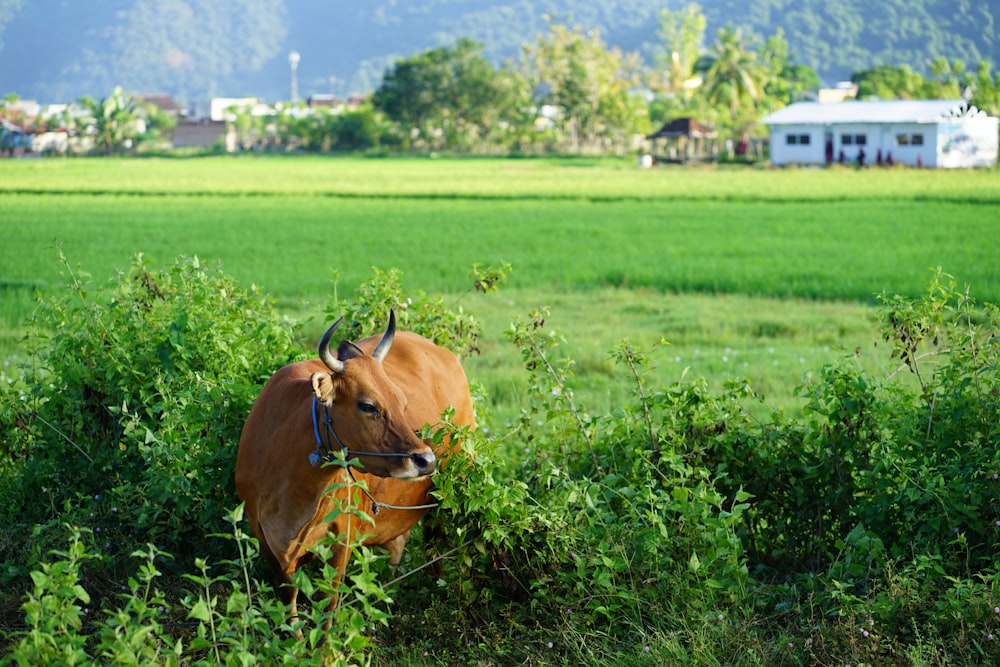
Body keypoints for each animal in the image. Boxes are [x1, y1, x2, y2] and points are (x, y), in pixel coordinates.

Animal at [232, 312, 474, 628]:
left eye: (402, 402)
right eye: (368, 405)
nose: (426, 460)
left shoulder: (341, 537)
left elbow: (328, 604)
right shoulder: (261, 533)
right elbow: (289, 600)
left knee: (436, 539)